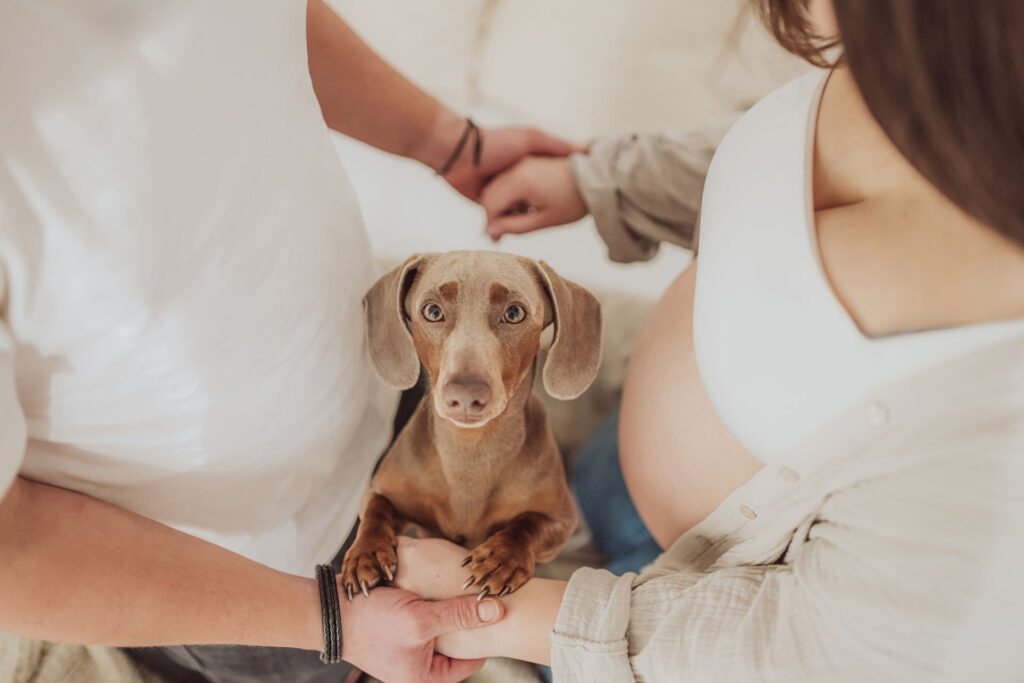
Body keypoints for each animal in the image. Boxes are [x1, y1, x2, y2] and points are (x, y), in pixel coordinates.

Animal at [339, 250, 602, 598]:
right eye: (432, 311)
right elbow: (375, 511)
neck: (469, 451)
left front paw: (501, 558)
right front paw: (365, 554)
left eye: (514, 313)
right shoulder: (379, 490)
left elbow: (526, 525)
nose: (465, 395)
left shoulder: (560, 520)